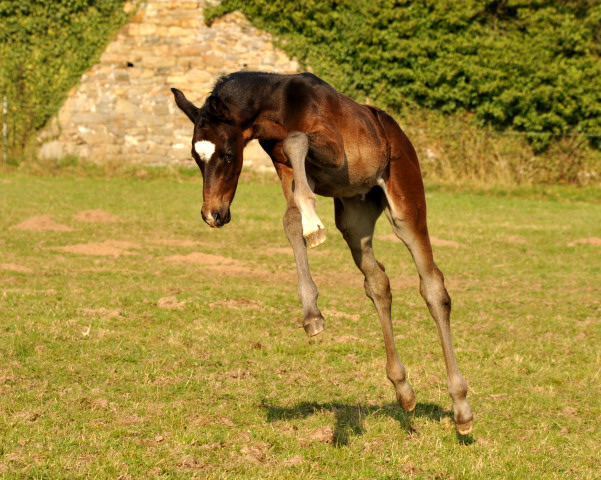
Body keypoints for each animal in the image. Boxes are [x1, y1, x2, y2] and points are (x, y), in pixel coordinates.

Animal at [170, 71, 474, 436]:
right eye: (195, 156)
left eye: (229, 154)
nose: (213, 214)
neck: (281, 104)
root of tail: (395, 131)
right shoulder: (286, 168)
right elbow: (291, 218)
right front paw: (312, 315)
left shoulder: (328, 149)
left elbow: (296, 141)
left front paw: (313, 226)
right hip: (355, 218)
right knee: (378, 284)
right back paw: (403, 391)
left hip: (405, 204)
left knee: (432, 286)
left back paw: (461, 408)